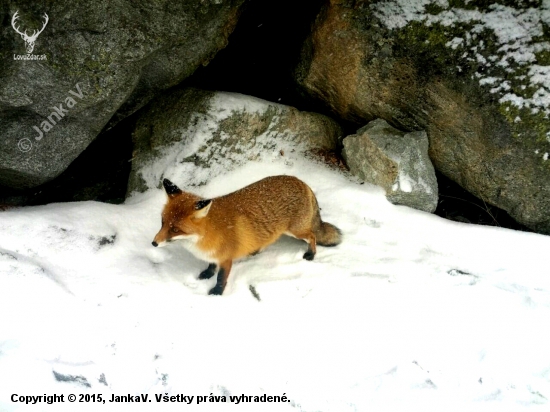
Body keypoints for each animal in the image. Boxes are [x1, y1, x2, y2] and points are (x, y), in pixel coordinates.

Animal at [151, 175, 340, 294]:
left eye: (176, 229)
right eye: (162, 222)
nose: (154, 243)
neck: (205, 235)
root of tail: (301, 181)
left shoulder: (226, 259)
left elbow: (221, 278)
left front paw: (217, 292)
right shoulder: (213, 256)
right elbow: (211, 266)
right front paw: (207, 274)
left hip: (296, 231)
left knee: (312, 236)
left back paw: (311, 254)